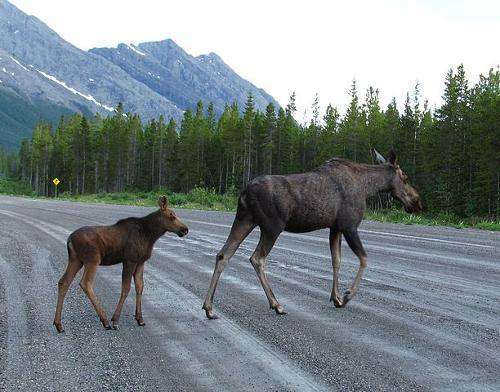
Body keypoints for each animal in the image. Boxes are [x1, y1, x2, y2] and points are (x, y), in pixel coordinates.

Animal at [53, 195, 188, 330]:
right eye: (171, 216)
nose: (185, 229)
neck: (150, 235)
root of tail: (69, 239)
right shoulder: (130, 260)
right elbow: (126, 288)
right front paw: (116, 320)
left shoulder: (140, 262)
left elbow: (140, 286)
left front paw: (140, 318)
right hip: (92, 259)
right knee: (85, 283)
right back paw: (105, 320)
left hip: (76, 260)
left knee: (63, 282)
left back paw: (58, 324)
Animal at [203, 150, 422, 318]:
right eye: (405, 177)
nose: (417, 203)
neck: (368, 187)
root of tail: (244, 192)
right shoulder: (350, 225)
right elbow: (364, 258)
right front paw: (347, 295)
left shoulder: (335, 227)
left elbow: (336, 260)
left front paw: (336, 297)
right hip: (272, 225)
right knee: (257, 258)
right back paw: (276, 304)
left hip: (245, 219)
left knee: (223, 254)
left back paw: (209, 307)